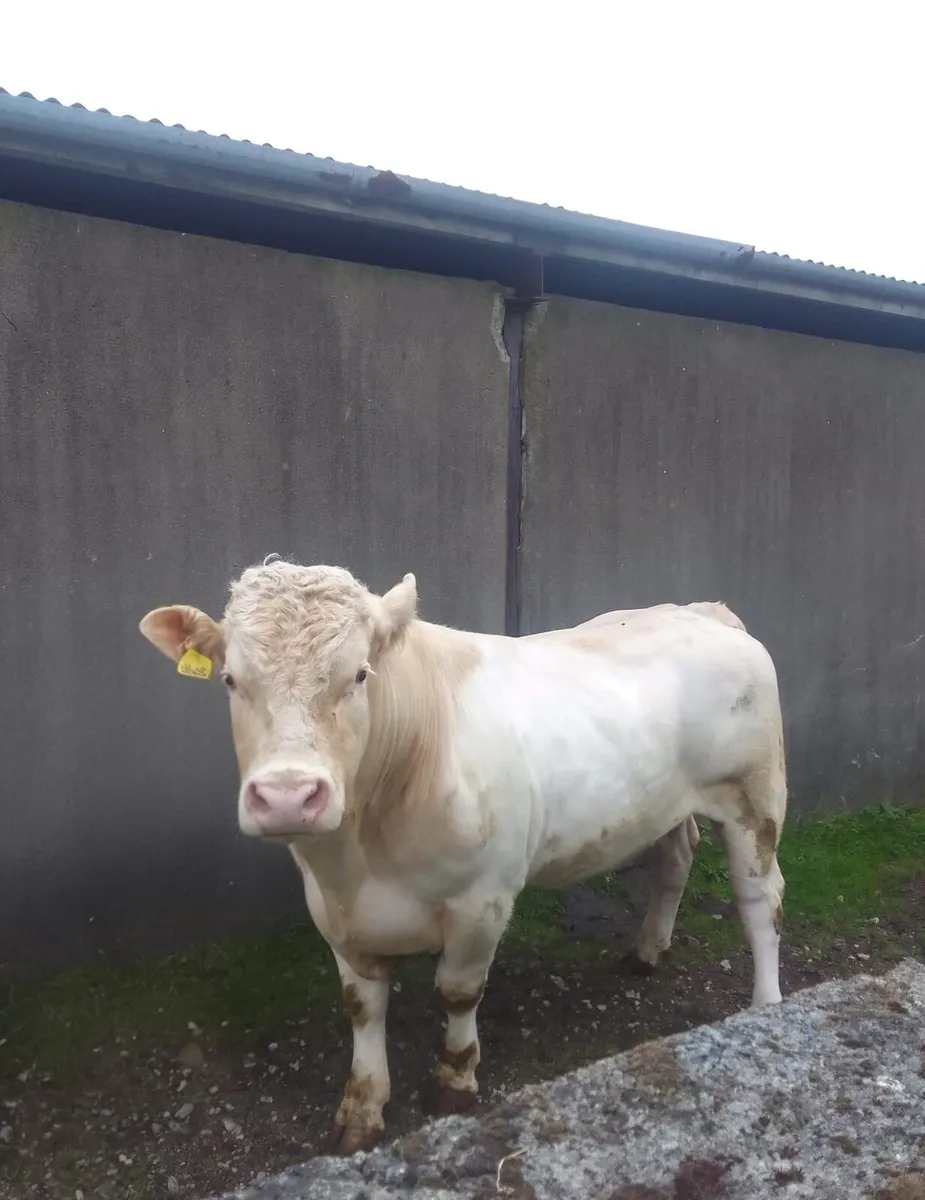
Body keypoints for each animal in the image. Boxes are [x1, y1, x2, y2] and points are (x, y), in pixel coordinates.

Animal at [139, 559, 787, 1154]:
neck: (359, 859)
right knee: (676, 857)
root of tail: (701, 610)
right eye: (230, 679)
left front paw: (454, 1081)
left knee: (762, 899)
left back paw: (766, 1006)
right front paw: (362, 1108)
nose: (288, 797)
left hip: (755, 796)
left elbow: (457, 992)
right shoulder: (330, 909)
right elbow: (362, 1007)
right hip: (666, 803)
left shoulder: (483, 899)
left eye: (359, 674)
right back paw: (648, 950)